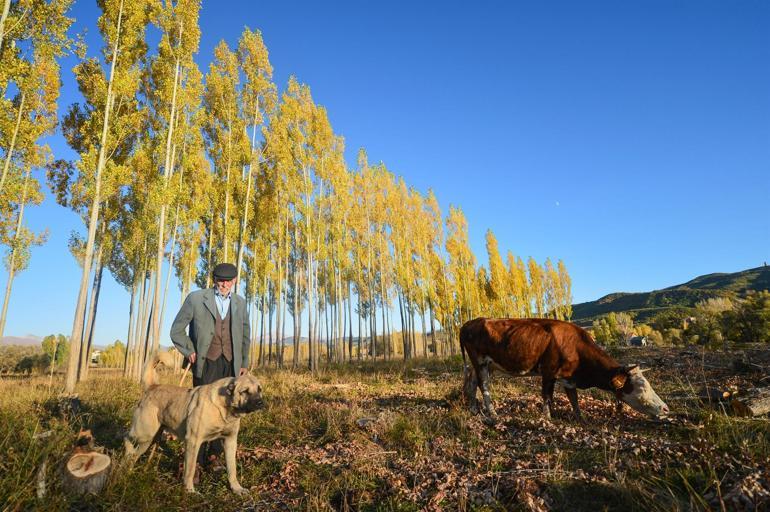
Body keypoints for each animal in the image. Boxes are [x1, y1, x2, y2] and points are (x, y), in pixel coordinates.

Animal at [123, 354, 260, 494]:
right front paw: (189, 490)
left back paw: (129, 469)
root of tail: (152, 387)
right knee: (126, 438)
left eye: (259, 390)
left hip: (150, 439)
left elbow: (232, 469)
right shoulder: (193, 441)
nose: (260, 402)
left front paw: (237, 488)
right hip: (145, 432)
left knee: (135, 454)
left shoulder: (230, 441)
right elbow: (190, 469)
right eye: (245, 391)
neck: (224, 407)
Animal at [456, 318, 664, 422]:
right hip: (479, 361)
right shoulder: (548, 372)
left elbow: (574, 399)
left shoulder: (568, 378)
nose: (666, 408)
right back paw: (493, 414)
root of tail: (469, 323)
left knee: (472, 384)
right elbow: (547, 396)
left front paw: (580, 418)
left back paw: (474, 410)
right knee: (483, 386)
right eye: (641, 388)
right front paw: (548, 418)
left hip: (486, 365)